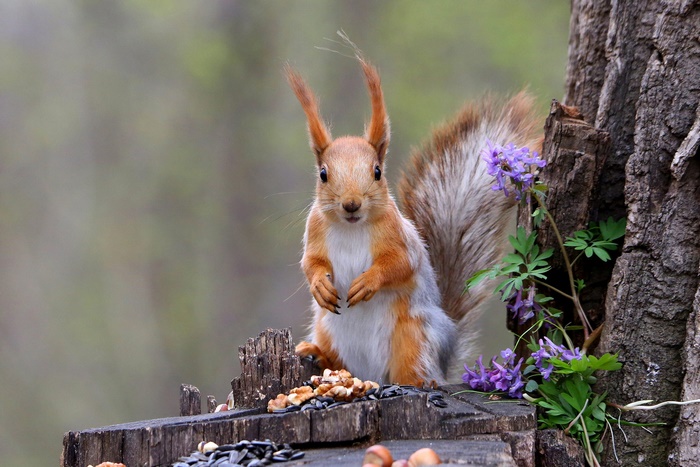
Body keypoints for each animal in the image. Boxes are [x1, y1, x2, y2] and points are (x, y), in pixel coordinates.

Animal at [285, 55, 540, 386]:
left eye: (377, 171)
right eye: (323, 174)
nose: (351, 204)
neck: (352, 228)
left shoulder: (399, 237)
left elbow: (400, 264)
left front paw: (368, 282)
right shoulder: (315, 230)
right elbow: (311, 263)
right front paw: (319, 286)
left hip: (414, 336)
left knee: (414, 370)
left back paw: (421, 382)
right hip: (328, 330)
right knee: (339, 361)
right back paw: (318, 354)